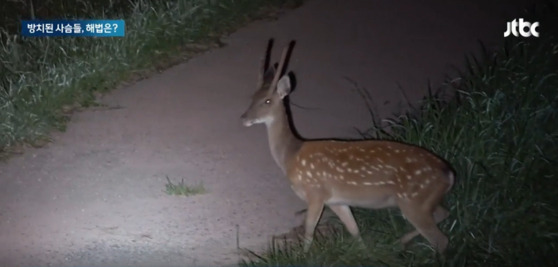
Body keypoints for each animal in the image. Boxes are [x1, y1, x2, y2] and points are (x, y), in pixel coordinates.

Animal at [241, 39, 456, 253]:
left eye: (267, 100)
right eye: (251, 97)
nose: (244, 118)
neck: (291, 155)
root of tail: (449, 174)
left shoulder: (315, 192)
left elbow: (309, 230)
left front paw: (304, 255)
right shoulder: (337, 200)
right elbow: (353, 228)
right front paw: (366, 252)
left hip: (413, 201)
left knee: (440, 239)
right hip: (423, 202)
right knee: (444, 214)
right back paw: (401, 241)